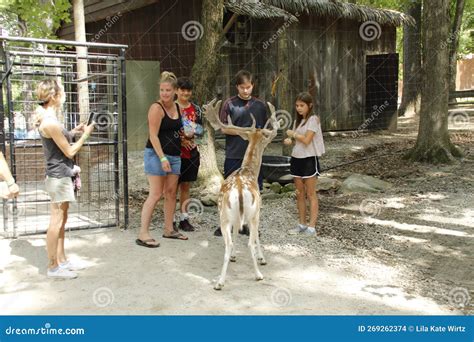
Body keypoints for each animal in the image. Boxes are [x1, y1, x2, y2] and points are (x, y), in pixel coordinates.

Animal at [203, 98, 278, 288]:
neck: (248, 171)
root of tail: (239, 190)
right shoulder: (258, 212)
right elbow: (256, 237)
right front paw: (262, 258)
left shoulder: (236, 219)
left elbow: (237, 232)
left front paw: (235, 256)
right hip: (250, 214)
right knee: (249, 242)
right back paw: (257, 274)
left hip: (225, 216)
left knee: (228, 243)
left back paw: (220, 281)